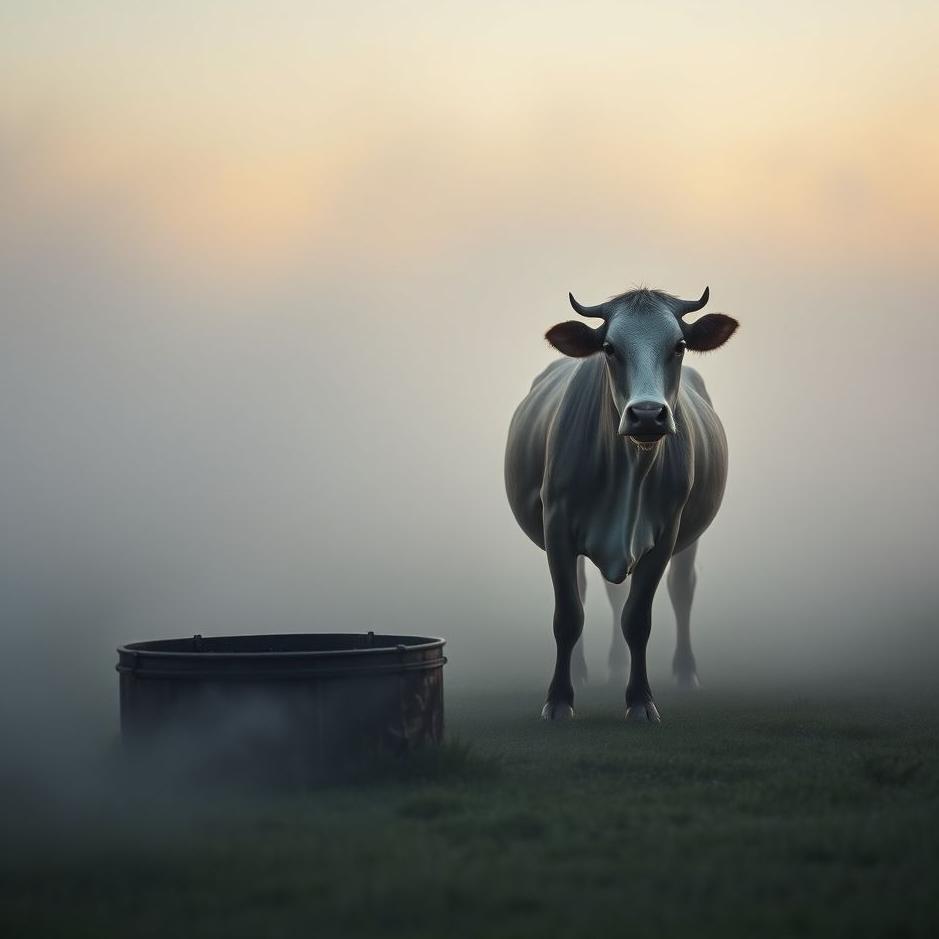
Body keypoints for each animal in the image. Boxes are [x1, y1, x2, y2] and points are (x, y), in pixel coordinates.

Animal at [504, 286, 738, 721]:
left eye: (679, 345)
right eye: (609, 348)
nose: (647, 414)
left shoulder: (666, 532)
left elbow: (638, 619)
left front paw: (641, 700)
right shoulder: (557, 525)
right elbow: (568, 615)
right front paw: (558, 699)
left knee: (682, 588)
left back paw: (685, 673)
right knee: (589, 592)